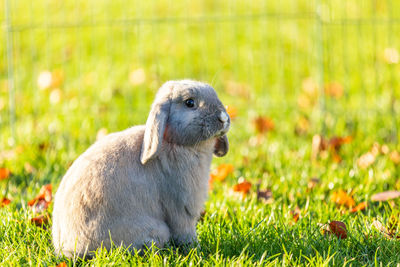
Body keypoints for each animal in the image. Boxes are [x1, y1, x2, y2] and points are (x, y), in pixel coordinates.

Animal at [51, 79, 230, 258]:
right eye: (190, 103)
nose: (223, 118)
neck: (175, 143)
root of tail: (69, 250)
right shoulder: (181, 208)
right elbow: (185, 233)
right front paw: (196, 250)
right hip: (157, 230)